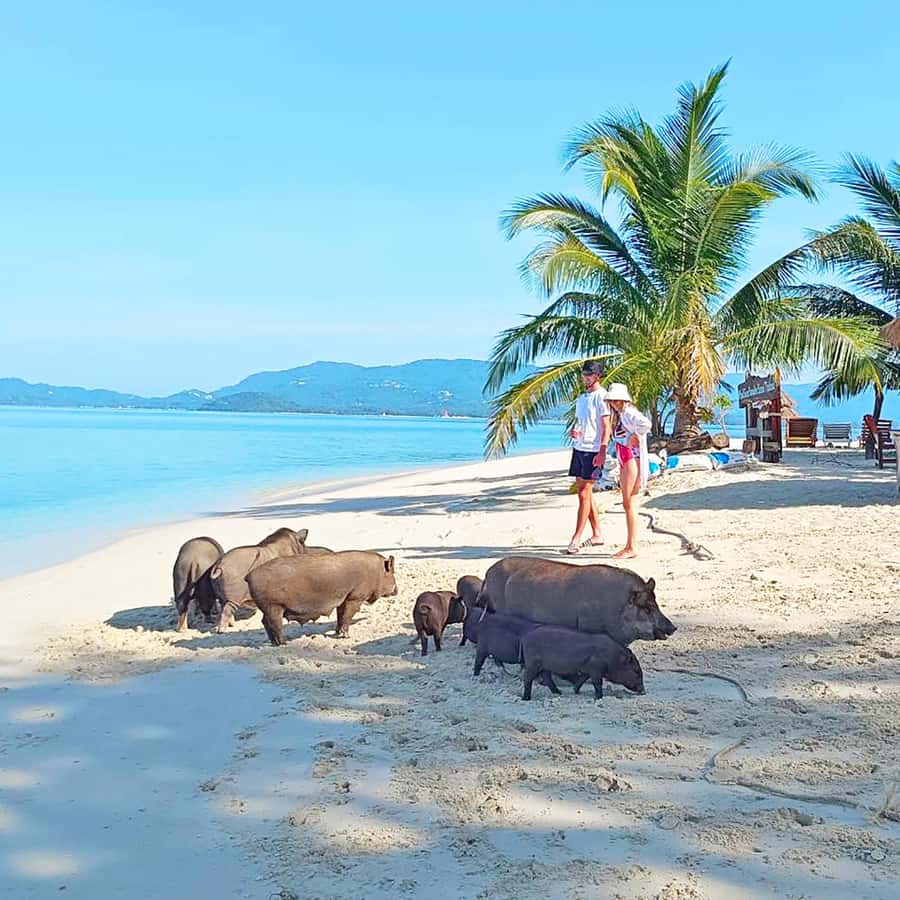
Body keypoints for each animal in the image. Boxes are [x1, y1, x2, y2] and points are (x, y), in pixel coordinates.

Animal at [246, 551, 397, 646]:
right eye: (392, 573)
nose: (397, 590)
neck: (376, 572)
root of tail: (249, 576)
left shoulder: (343, 598)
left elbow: (340, 616)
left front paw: (338, 632)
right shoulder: (355, 597)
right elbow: (347, 616)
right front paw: (346, 636)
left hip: (268, 608)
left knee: (264, 622)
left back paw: (274, 643)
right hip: (273, 606)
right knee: (274, 624)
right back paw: (283, 643)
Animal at [479, 557, 675, 646]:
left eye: (657, 604)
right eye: (647, 608)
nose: (673, 627)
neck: (616, 606)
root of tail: (488, 571)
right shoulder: (588, 625)